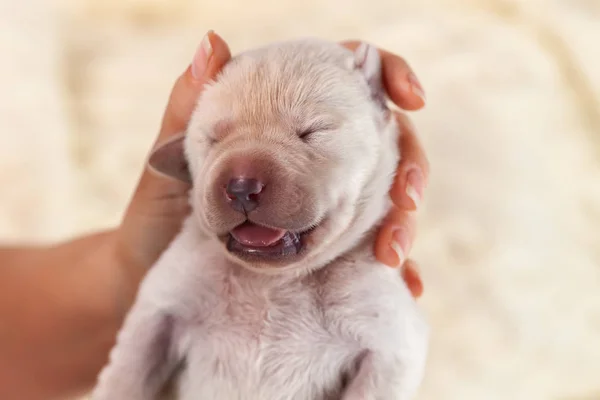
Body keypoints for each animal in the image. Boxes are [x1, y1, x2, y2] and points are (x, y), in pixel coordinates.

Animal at [91, 37, 428, 400]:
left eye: (312, 131)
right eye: (212, 139)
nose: (241, 187)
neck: (272, 281)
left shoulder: (389, 345)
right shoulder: (161, 305)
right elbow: (127, 372)